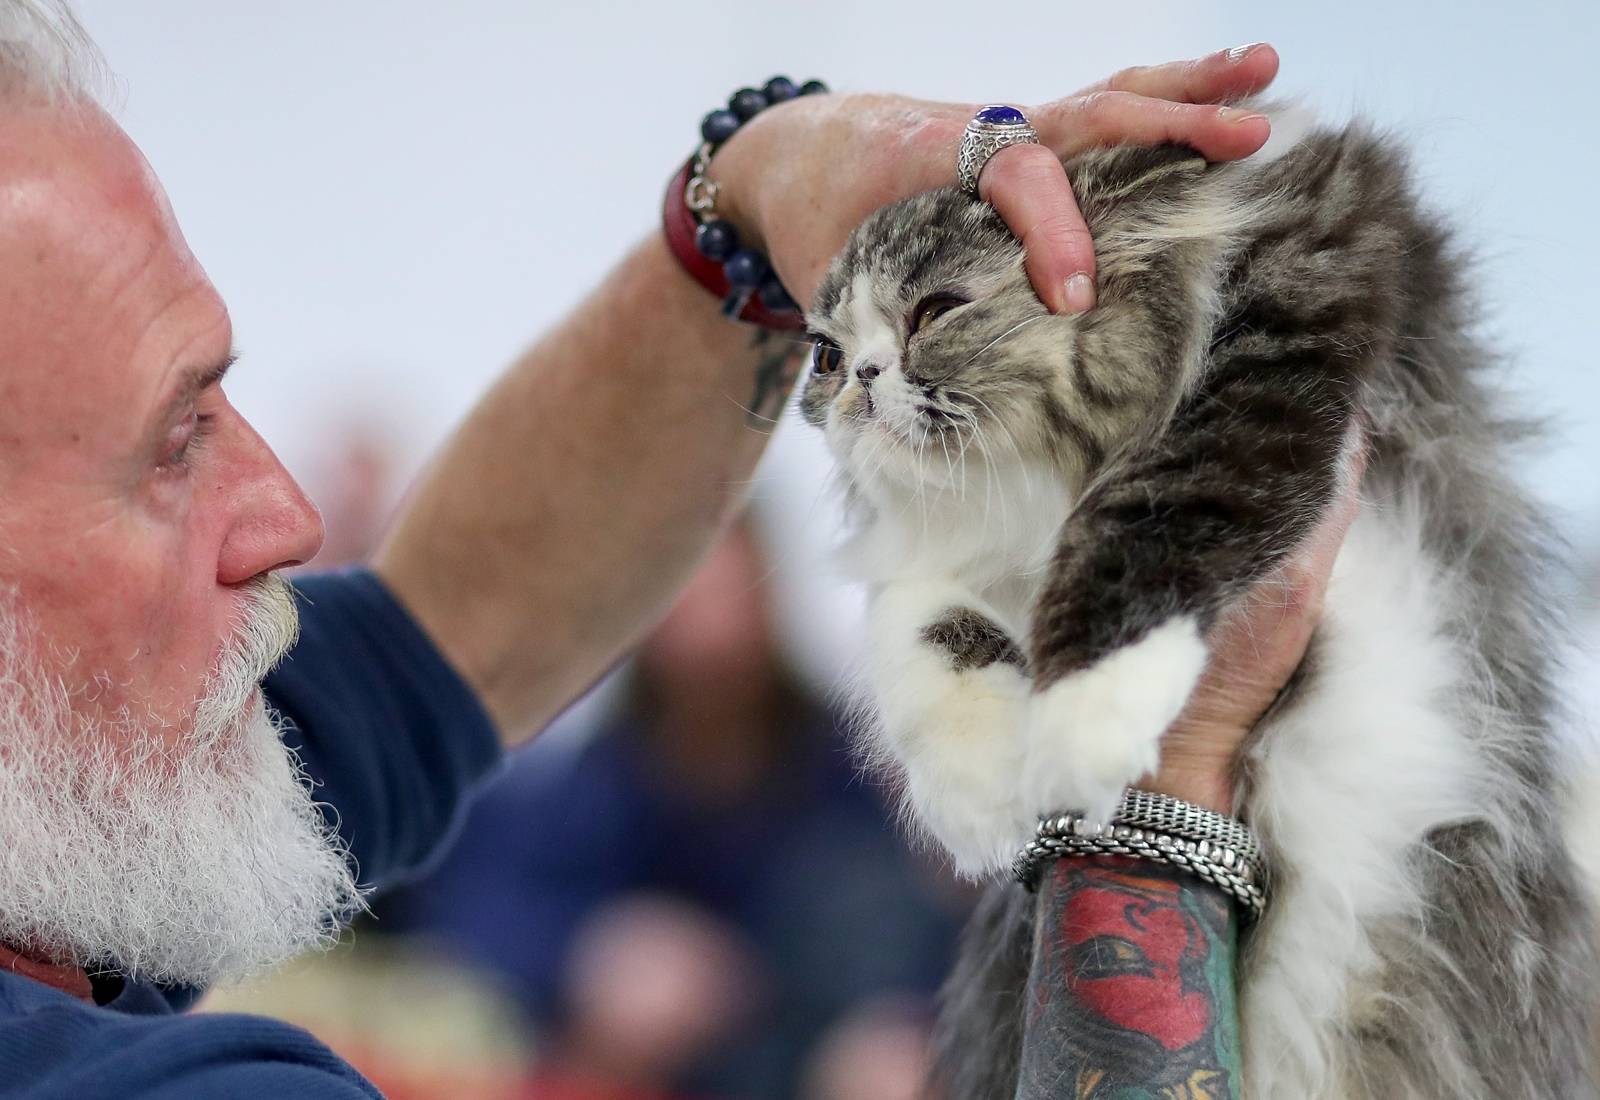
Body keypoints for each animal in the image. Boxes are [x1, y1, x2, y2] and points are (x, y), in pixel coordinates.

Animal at [800, 113, 1600, 1100]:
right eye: (825, 356)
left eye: (936, 310)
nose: (862, 379)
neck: (1030, 498)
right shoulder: (924, 561)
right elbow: (915, 619)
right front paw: (978, 794)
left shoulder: (1306, 277)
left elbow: (1163, 498)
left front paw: (1082, 716)